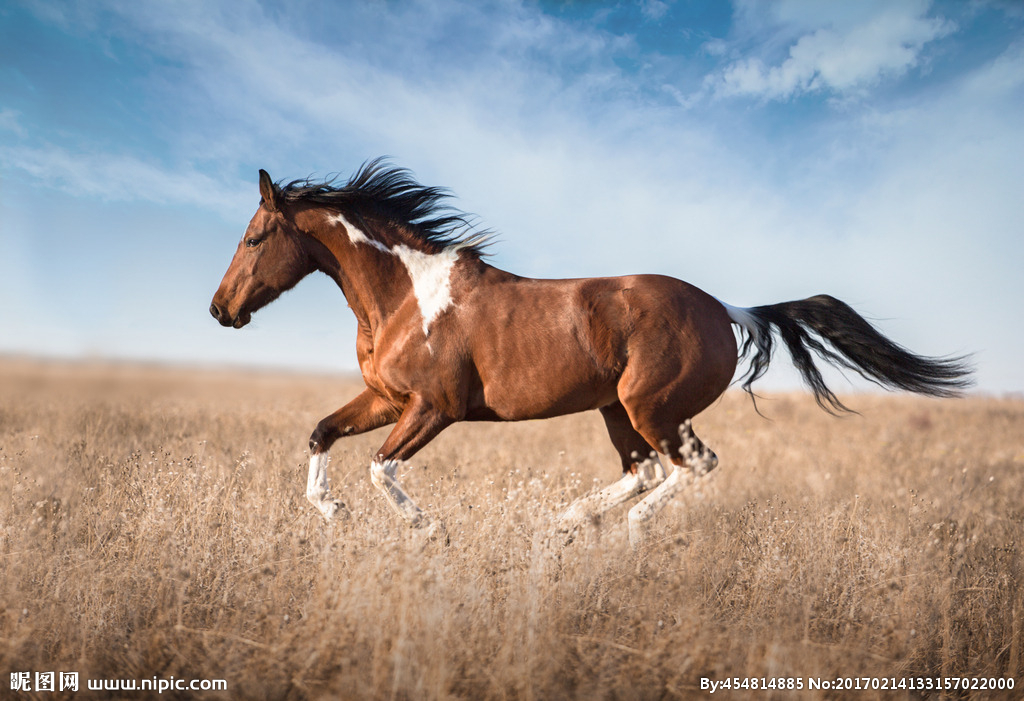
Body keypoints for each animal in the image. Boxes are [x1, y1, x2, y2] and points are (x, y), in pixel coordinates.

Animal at [211, 161, 970, 544]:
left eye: (253, 237)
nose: (220, 310)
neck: (406, 295)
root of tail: (727, 309)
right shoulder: (386, 398)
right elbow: (321, 433)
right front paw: (332, 512)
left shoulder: (434, 406)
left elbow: (379, 466)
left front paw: (428, 529)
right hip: (616, 410)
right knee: (645, 469)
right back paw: (569, 519)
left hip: (649, 406)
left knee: (689, 465)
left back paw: (623, 529)